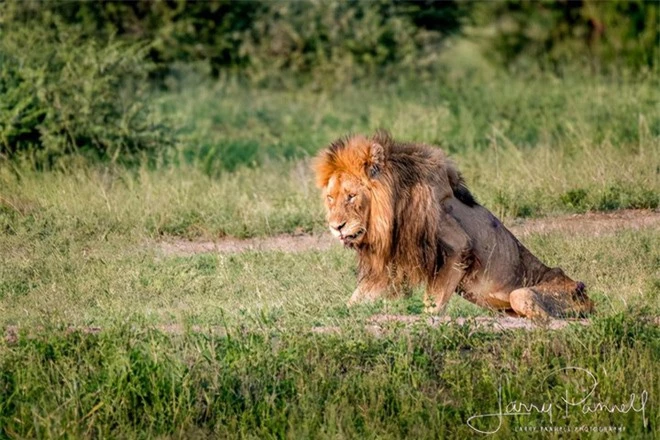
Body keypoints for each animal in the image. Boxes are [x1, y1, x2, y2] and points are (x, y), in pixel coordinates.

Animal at [312, 131, 596, 320]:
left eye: (351, 196)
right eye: (331, 198)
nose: (336, 227)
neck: (394, 206)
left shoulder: (458, 247)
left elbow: (433, 302)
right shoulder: (391, 262)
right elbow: (356, 298)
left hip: (530, 295)